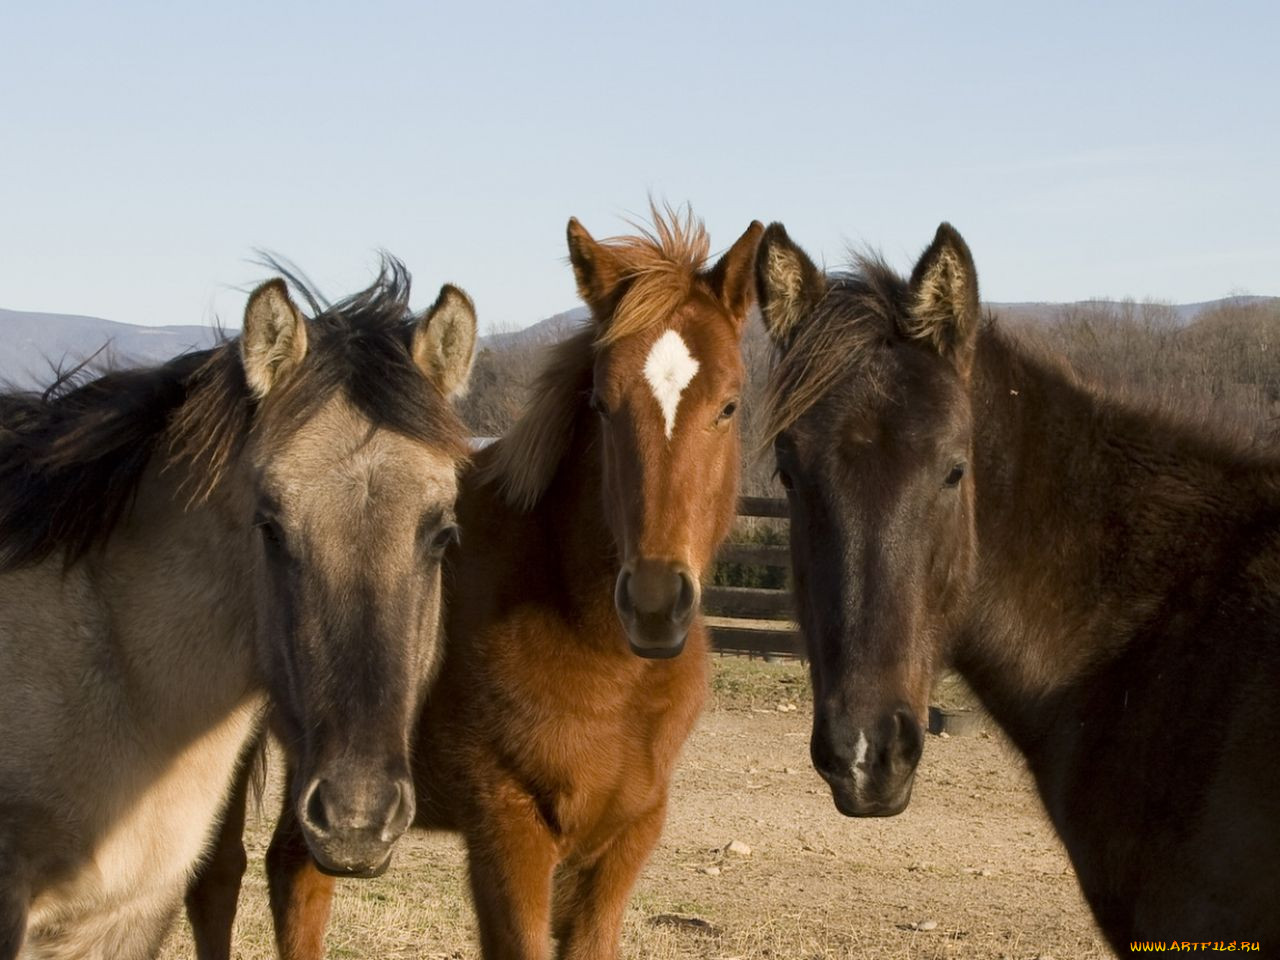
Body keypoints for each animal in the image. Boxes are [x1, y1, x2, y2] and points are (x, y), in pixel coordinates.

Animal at [186, 212, 762, 960]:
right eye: (603, 404)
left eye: (729, 405)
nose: (656, 604)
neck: (603, 656)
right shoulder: (507, 831)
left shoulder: (624, 839)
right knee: (217, 879)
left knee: (296, 871)